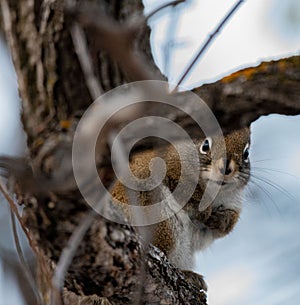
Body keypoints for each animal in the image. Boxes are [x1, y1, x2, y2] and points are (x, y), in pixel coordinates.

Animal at [111, 127, 250, 270]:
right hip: (158, 217)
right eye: (205, 146)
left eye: (246, 154)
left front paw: (220, 219)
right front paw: (204, 211)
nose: (225, 169)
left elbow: (227, 225)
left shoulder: (233, 200)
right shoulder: (166, 167)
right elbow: (186, 190)